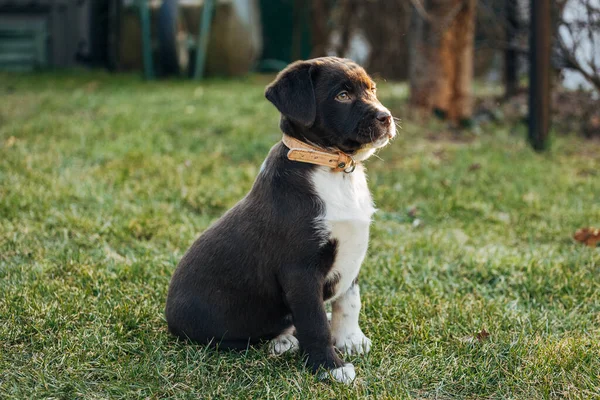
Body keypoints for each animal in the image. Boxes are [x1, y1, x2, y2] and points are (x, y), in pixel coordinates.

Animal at [166, 54, 396, 382]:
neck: (331, 167)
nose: (386, 118)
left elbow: (350, 299)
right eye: (342, 95)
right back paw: (283, 341)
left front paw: (350, 339)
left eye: (372, 89)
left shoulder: (352, 252)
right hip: (217, 327)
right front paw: (330, 367)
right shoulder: (300, 270)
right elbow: (314, 322)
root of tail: (168, 314)